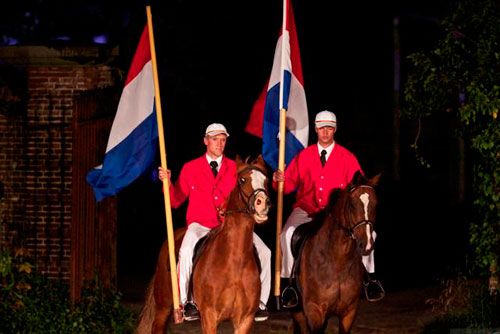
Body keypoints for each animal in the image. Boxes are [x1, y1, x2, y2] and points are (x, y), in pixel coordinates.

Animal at [137, 155, 270, 332]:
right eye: (242, 180)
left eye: (266, 180)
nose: (263, 203)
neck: (235, 259)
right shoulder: (209, 316)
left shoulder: (245, 320)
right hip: (163, 305)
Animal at [292, 172, 380, 334]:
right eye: (352, 204)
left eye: (375, 204)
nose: (366, 245)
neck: (338, 260)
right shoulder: (314, 311)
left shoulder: (349, 312)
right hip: (298, 312)